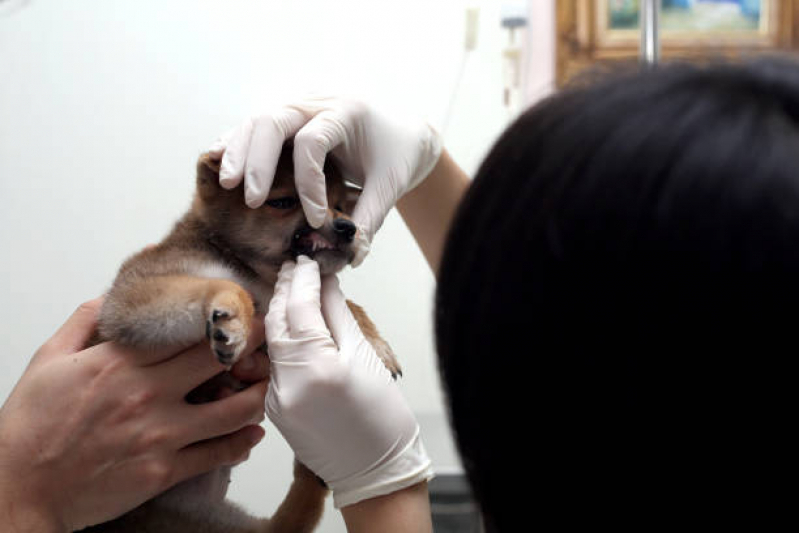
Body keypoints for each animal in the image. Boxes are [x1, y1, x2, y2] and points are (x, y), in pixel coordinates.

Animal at [83, 142, 400, 532]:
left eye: (341, 204)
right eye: (283, 202)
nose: (349, 226)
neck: (259, 277)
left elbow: (351, 306)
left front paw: (376, 345)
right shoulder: (132, 301)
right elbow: (227, 285)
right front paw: (234, 318)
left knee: (290, 522)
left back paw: (317, 470)